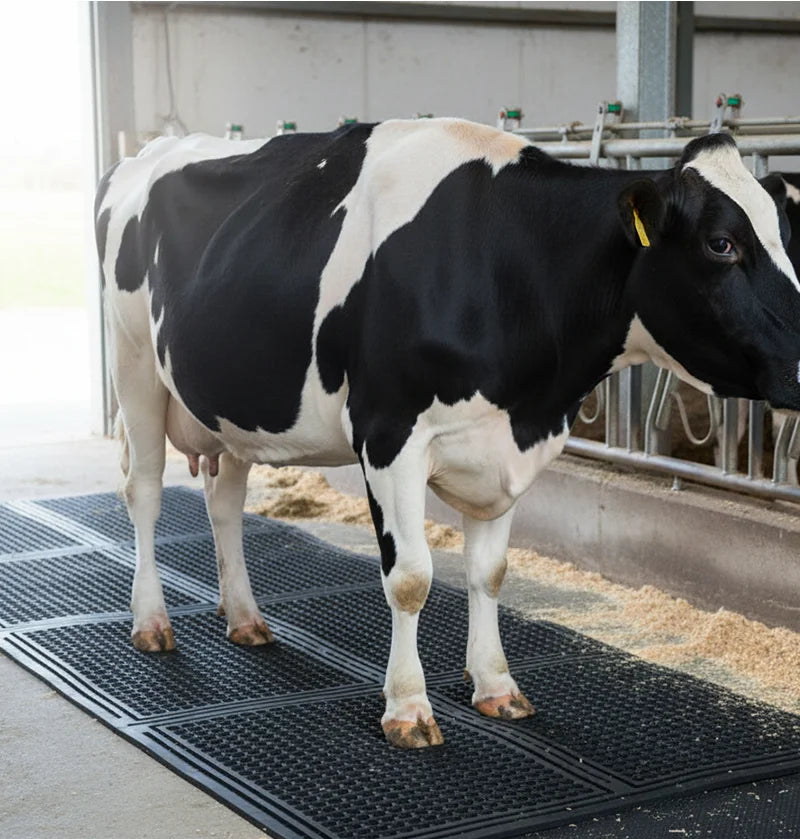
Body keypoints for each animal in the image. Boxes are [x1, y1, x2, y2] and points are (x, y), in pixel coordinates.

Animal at [95, 119, 799, 749]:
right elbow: (411, 577)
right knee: (144, 493)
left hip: (231, 402)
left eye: (788, 238)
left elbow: (489, 573)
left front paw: (496, 687)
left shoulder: (506, 444)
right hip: (134, 366)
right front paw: (408, 709)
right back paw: (150, 622)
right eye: (721, 244)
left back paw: (244, 618)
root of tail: (147, 150)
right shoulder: (389, 434)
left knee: (225, 502)